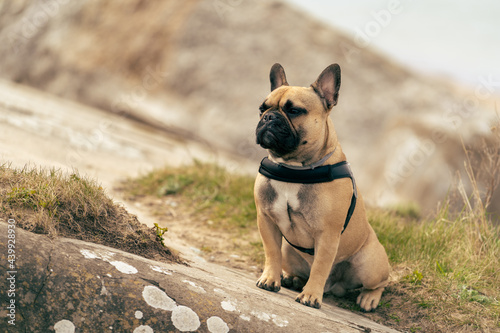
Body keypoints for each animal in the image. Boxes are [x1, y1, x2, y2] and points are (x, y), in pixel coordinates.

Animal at [254, 63, 390, 310]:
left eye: (294, 111)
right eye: (262, 108)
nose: (268, 117)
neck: (293, 168)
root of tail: (334, 287)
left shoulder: (327, 235)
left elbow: (320, 266)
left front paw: (311, 296)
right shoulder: (266, 220)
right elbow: (271, 252)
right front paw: (270, 279)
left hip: (369, 266)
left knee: (381, 282)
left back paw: (369, 298)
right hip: (290, 251)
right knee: (293, 264)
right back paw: (292, 279)